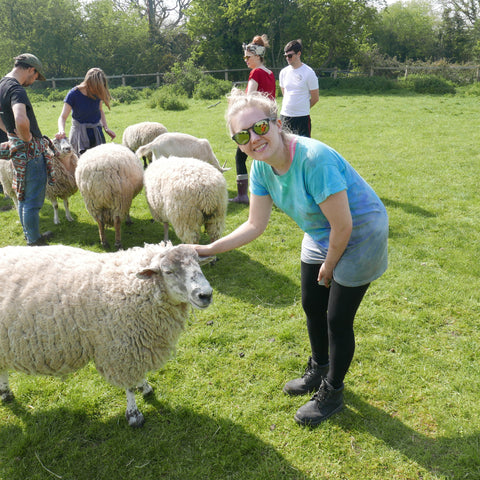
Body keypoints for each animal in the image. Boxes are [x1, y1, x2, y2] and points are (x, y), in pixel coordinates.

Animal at [0, 242, 214, 426]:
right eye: (168, 271)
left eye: (198, 264)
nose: (206, 295)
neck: (129, 285)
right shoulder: (122, 348)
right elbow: (128, 386)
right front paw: (134, 414)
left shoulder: (136, 344)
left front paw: (144, 386)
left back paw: (5, 393)